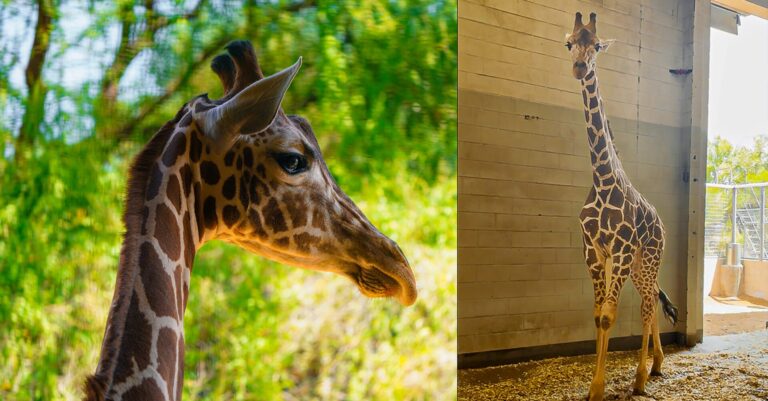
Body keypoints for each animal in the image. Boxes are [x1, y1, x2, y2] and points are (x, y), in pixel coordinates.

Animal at [565, 13, 679, 400]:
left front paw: (598, 388)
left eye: (598, 45)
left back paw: (641, 377)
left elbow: (609, 315)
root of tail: (661, 223)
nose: (579, 67)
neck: (602, 180)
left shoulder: (622, 248)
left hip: (647, 258)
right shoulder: (593, 251)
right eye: (569, 43)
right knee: (651, 300)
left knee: (647, 304)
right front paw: (591, 387)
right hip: (636, 265)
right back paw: (656, 364)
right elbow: (598, 313)